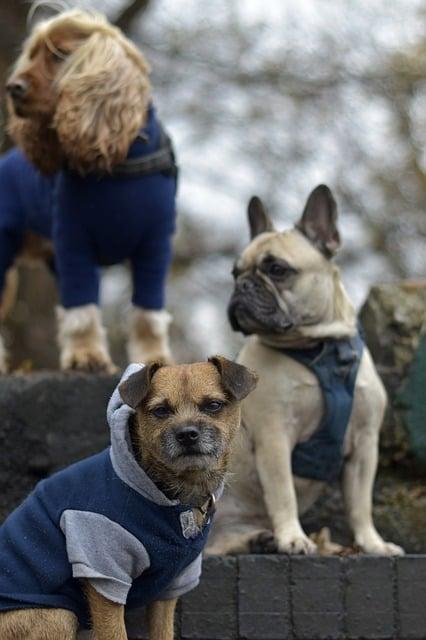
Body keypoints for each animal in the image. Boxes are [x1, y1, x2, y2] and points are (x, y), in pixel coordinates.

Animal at [0, 7, 176, 372]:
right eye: (31, 55)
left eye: (59, 55)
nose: (11, 87)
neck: (120, 160)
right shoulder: (73, 241)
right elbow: (80, 310)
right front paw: (86, 356)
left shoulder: (155, 245)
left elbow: (148, 314)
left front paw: (154, 357)